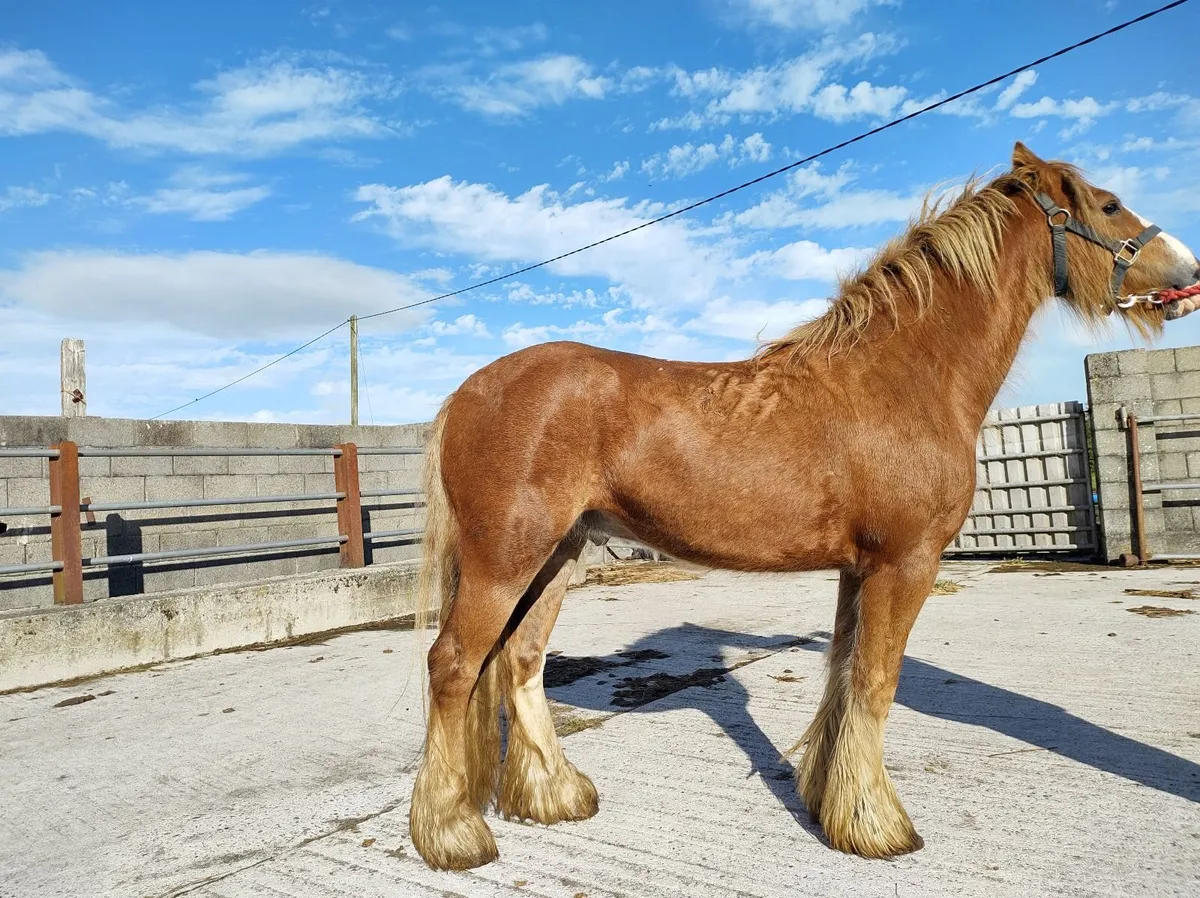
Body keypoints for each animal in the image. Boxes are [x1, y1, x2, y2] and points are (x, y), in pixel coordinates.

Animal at [406, 142, 1200, 871]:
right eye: (1108, 206)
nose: (1188, 273)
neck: (904, 375)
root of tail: (467, 392)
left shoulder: (861, 569)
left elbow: (844, 679)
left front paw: (831, 803)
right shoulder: (906, 563)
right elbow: (877, 684)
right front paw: (878, 827)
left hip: (557, 554)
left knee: (520, 662)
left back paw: (555, 796)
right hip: (507, 557)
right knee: (454, 664)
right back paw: (453, 835)